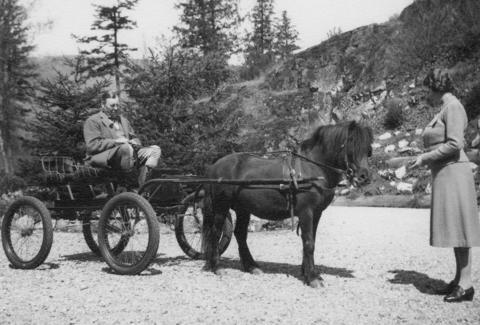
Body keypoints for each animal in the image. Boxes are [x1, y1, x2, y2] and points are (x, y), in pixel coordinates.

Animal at [201, 119, 374, 286]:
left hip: (243, 209)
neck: (312, 169)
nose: (364, 177)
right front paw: (312, 278)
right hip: (221, 206)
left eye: (368, 150)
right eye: (351, 145)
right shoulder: (306, 212)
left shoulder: (317, 213)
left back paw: (251, 267)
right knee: (216, 232)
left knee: (240, 234)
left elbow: (311, 240)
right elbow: (309, 242)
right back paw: (216, 267)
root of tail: (215, 166)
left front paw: (308, 273)